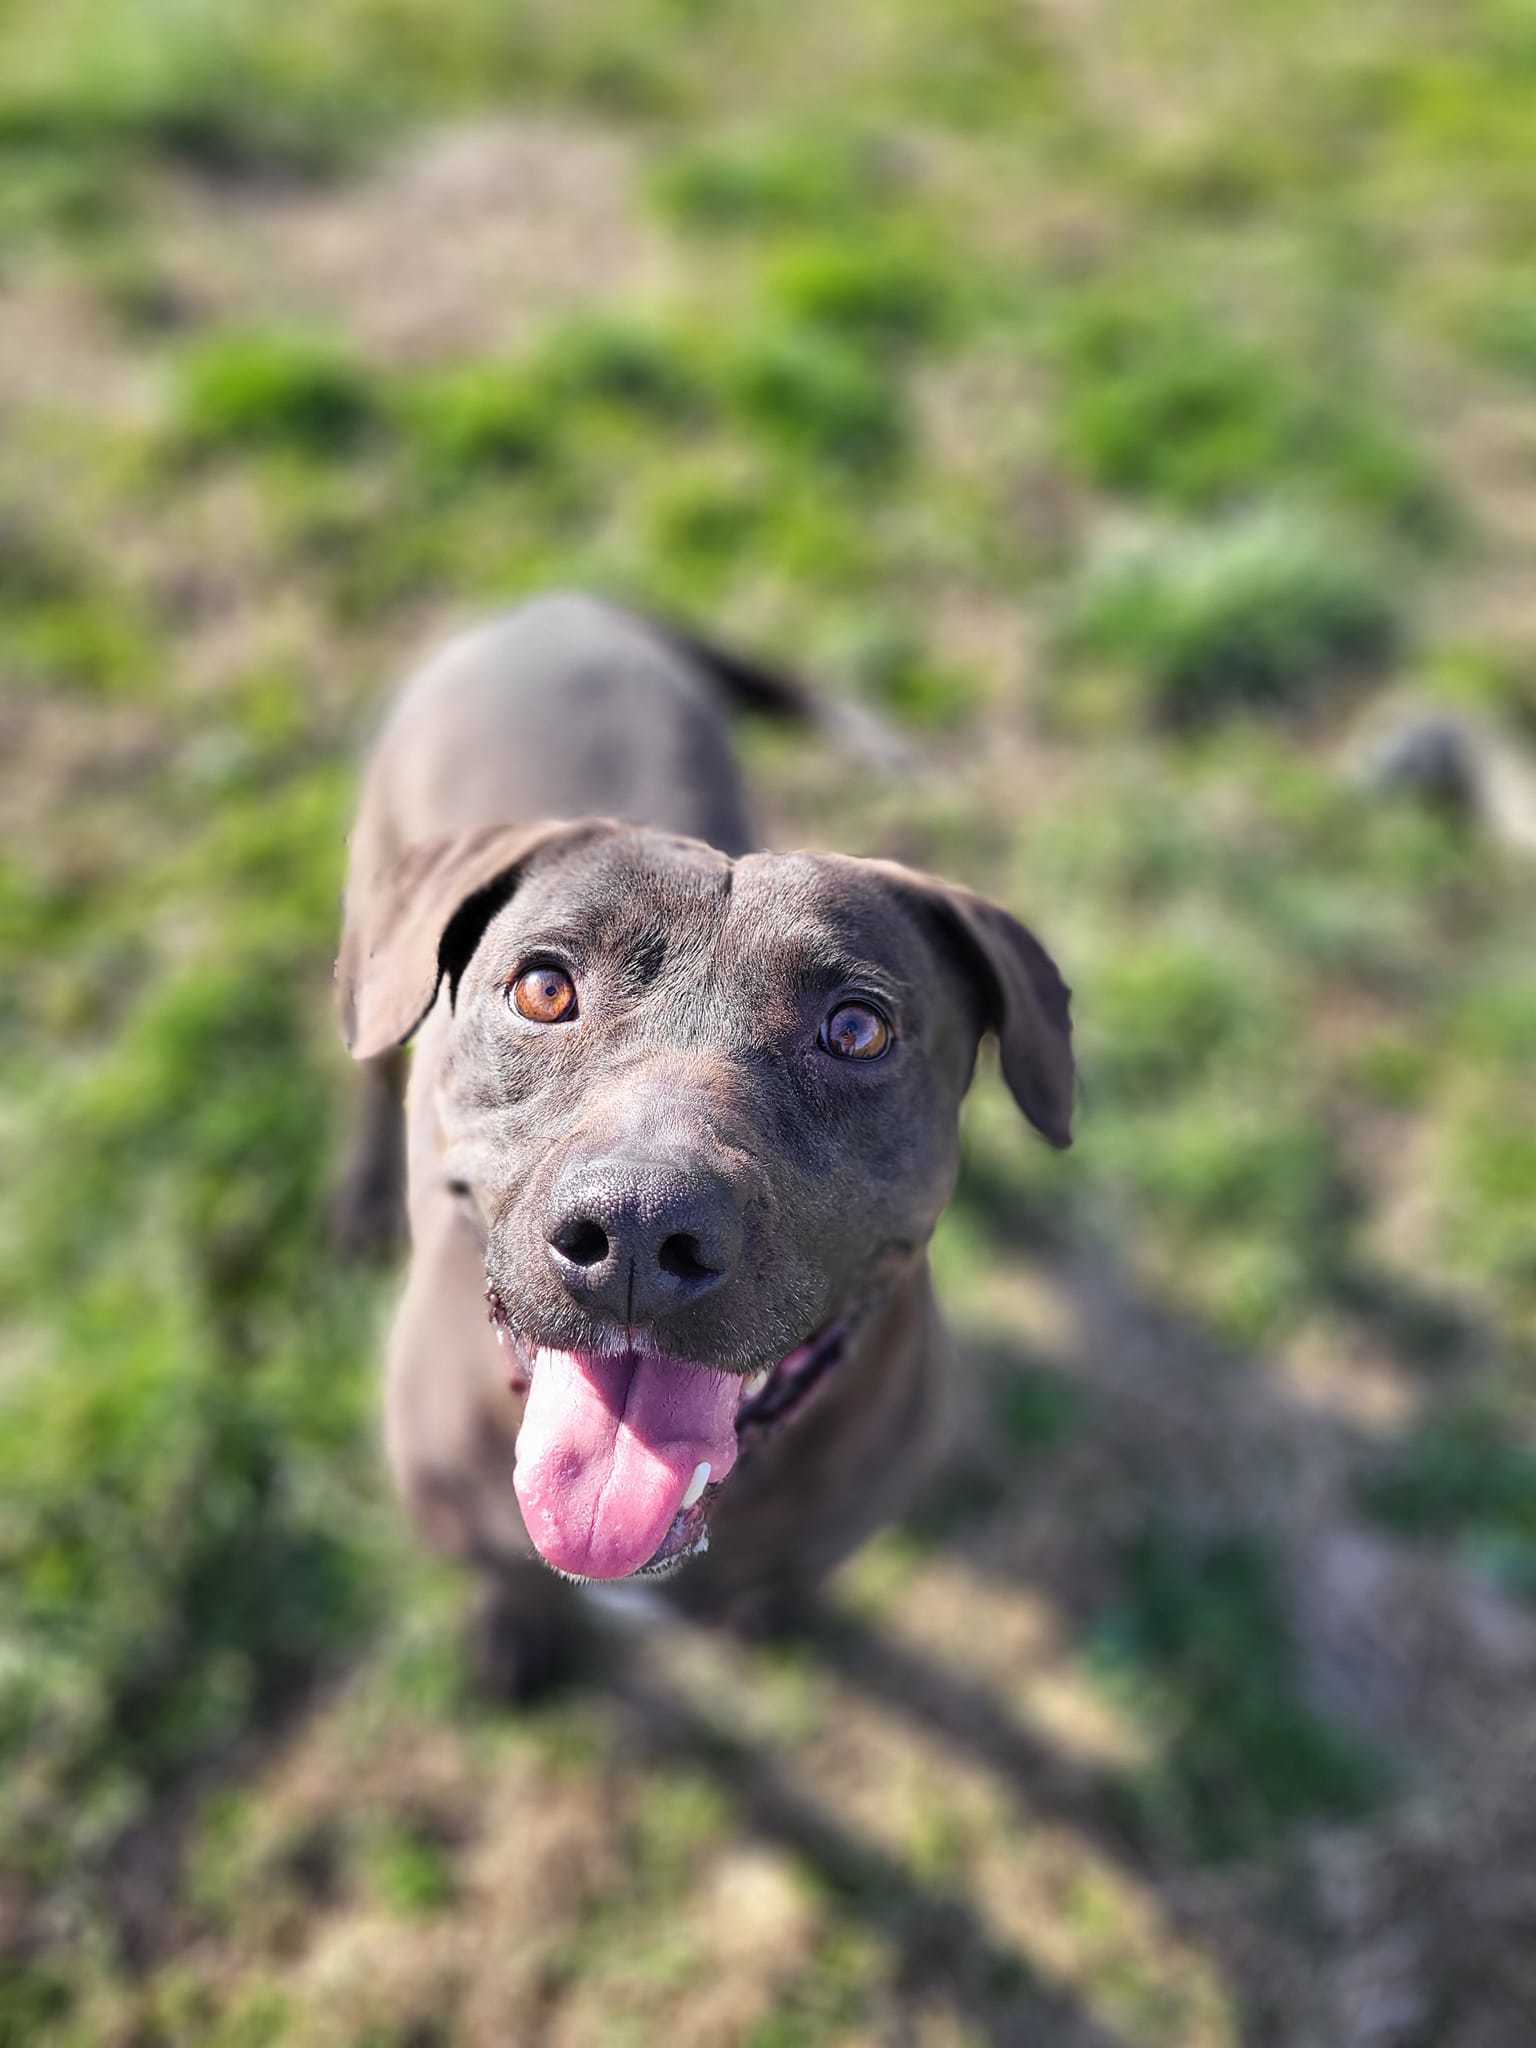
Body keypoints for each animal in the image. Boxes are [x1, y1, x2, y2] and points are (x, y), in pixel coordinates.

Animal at [335, 593, 1073, 1695]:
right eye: (543, 988)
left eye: (857, 1030)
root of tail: (565, 603)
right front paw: (511, 1636)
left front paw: (766, 1617)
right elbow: (501, 1575)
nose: (638, 1233)